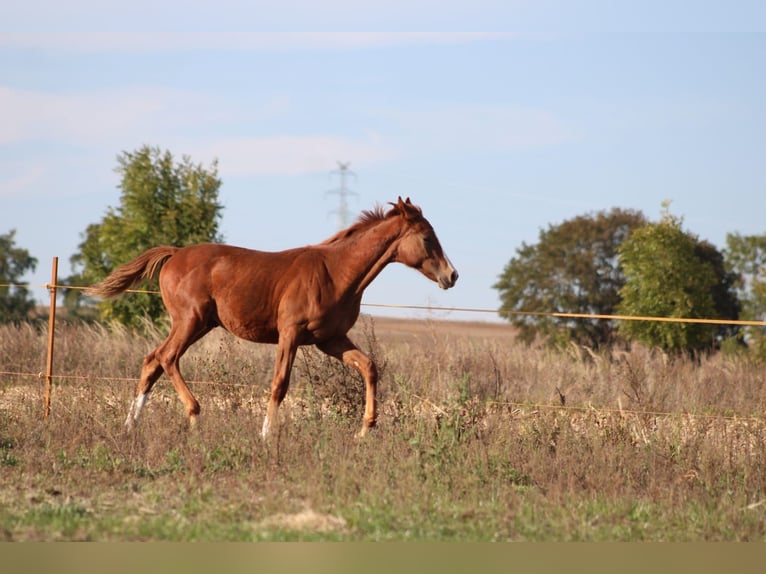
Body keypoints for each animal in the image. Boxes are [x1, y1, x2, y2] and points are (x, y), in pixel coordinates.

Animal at [90, 196, 462, 438]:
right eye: (427, 237)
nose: (452, 275)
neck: (336, 273)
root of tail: (175, 253)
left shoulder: (330, 339)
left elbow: (369, 366)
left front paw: (366, 429)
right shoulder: (290, 334)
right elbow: (279, 383)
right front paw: (267, 434)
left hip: (200, 324)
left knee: (152, 360)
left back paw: (130, 425)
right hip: (190, 320)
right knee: (166, 357)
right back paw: (194, 415)